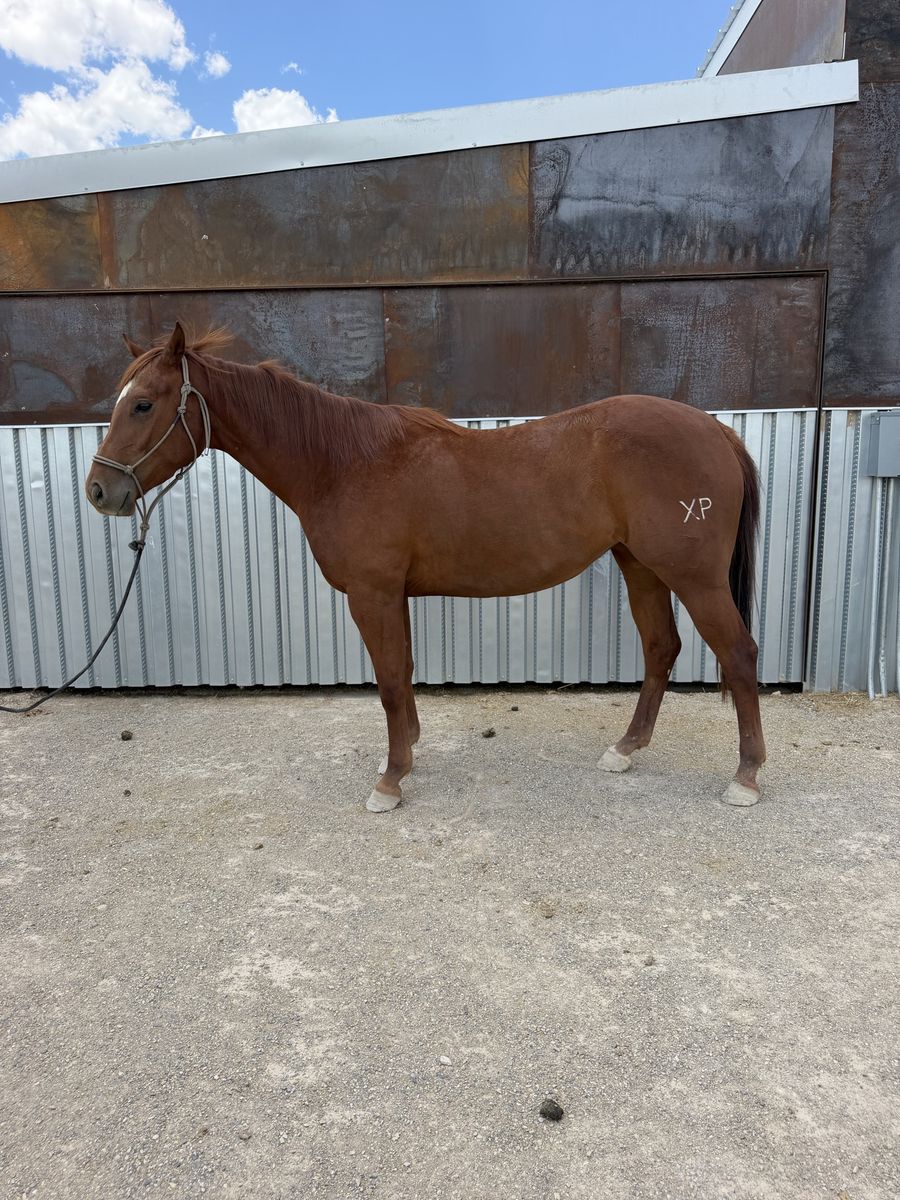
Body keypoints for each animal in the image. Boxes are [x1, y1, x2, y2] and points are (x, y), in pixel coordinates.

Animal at [86, 323, 765, 812]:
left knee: (738, 653)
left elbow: (389, 682)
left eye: (143, 404)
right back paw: (625, 750)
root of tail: (717, 432)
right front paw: (407, 752)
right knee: (661, 647)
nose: (98, 491)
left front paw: (390, 782)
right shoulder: (394, 596)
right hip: (640, 564)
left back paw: (746, 776)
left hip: (694, 577)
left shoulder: (373, 594)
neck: (341, 462)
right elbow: (404, 676)